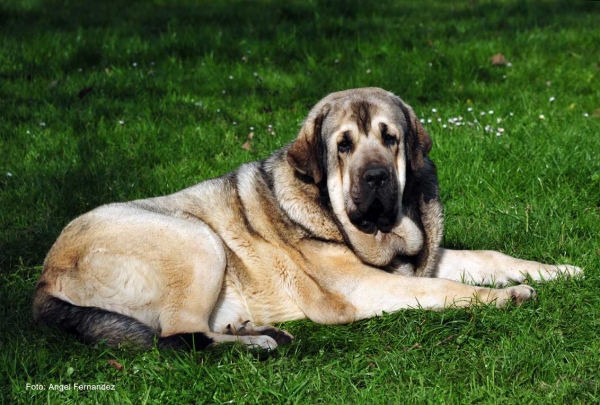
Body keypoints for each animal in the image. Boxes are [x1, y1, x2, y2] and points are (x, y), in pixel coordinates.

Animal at [31, 87, 580, 348]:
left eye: (390, 138)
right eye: (343, 146)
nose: (376, 177)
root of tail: (44, 278)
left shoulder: (425, 256)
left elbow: (489, 257)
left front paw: (557, 271)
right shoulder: (366, 287)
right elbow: (446, 292)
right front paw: (507, 297)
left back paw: (252, 331)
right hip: (195, 239)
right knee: (176, 337)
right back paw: (261, 343)